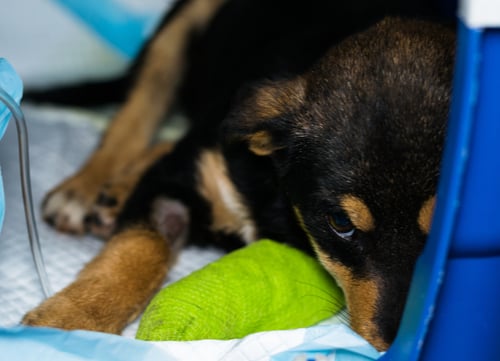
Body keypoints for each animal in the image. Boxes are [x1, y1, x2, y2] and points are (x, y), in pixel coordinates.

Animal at [23, 0, 456, 348]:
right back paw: (85, 187)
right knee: (135, 114)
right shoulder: (181, 178)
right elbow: (139, 248)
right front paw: (67, 321)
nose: (406, 340)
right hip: (180, 29)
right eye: (340, 223)